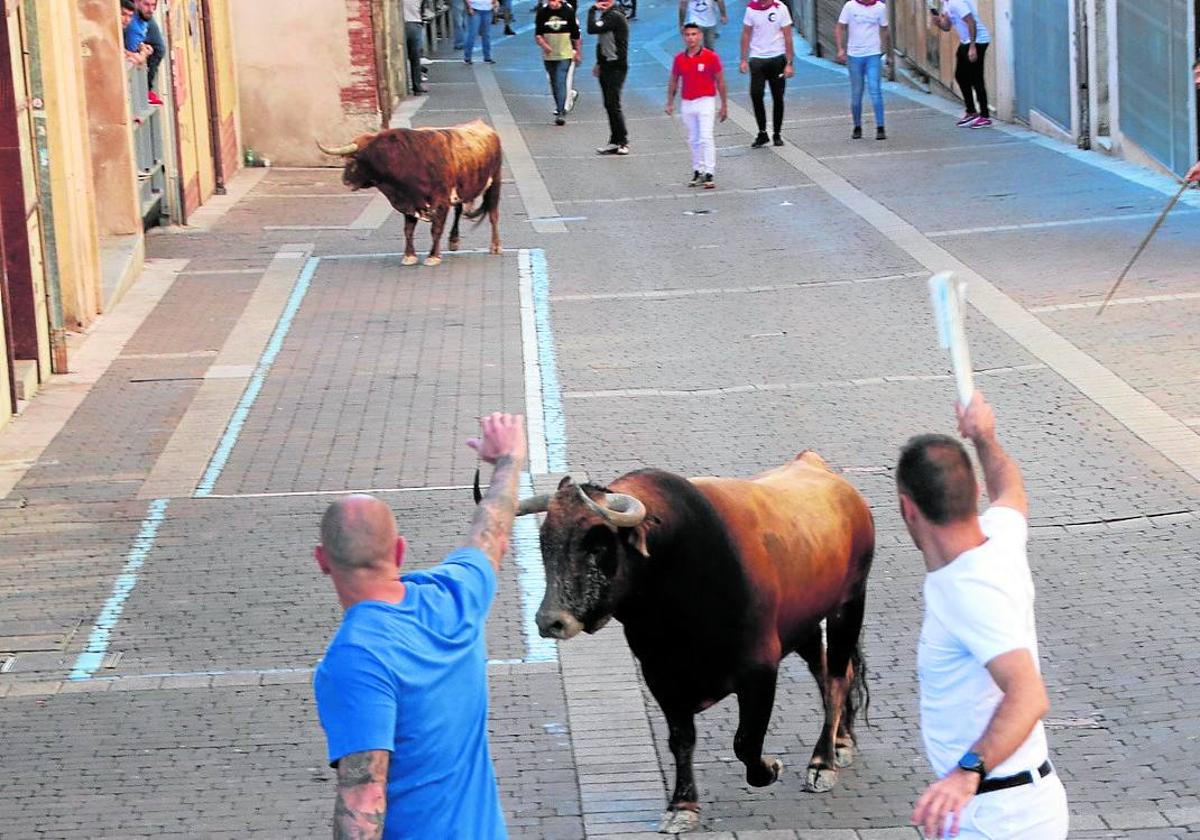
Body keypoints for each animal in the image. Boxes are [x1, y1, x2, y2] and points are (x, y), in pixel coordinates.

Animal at [314, 118, 501, 265]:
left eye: (352, 161)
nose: (345, 181)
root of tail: (486, 128)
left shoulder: (440, 201)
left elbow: (436, 229)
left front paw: (433, 256)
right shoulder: (409, 201)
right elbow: (408, 230)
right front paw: (409, 256)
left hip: (495, 183)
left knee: (493, 215)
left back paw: (495, 246)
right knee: (459, 211)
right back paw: (454, 241)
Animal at [480, 448, 883, 830]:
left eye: (598, 547)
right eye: (545, 544)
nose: (552, 621)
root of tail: (817, 467)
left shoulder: (760, 670)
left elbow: (745, 742)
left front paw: (770, 768)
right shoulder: (660, 675)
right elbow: (681, 739)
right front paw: (682, 805)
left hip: (849, 604)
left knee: (835, 679)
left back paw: (823, 762)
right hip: (805, 624)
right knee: (831, 672)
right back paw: (842, 741)